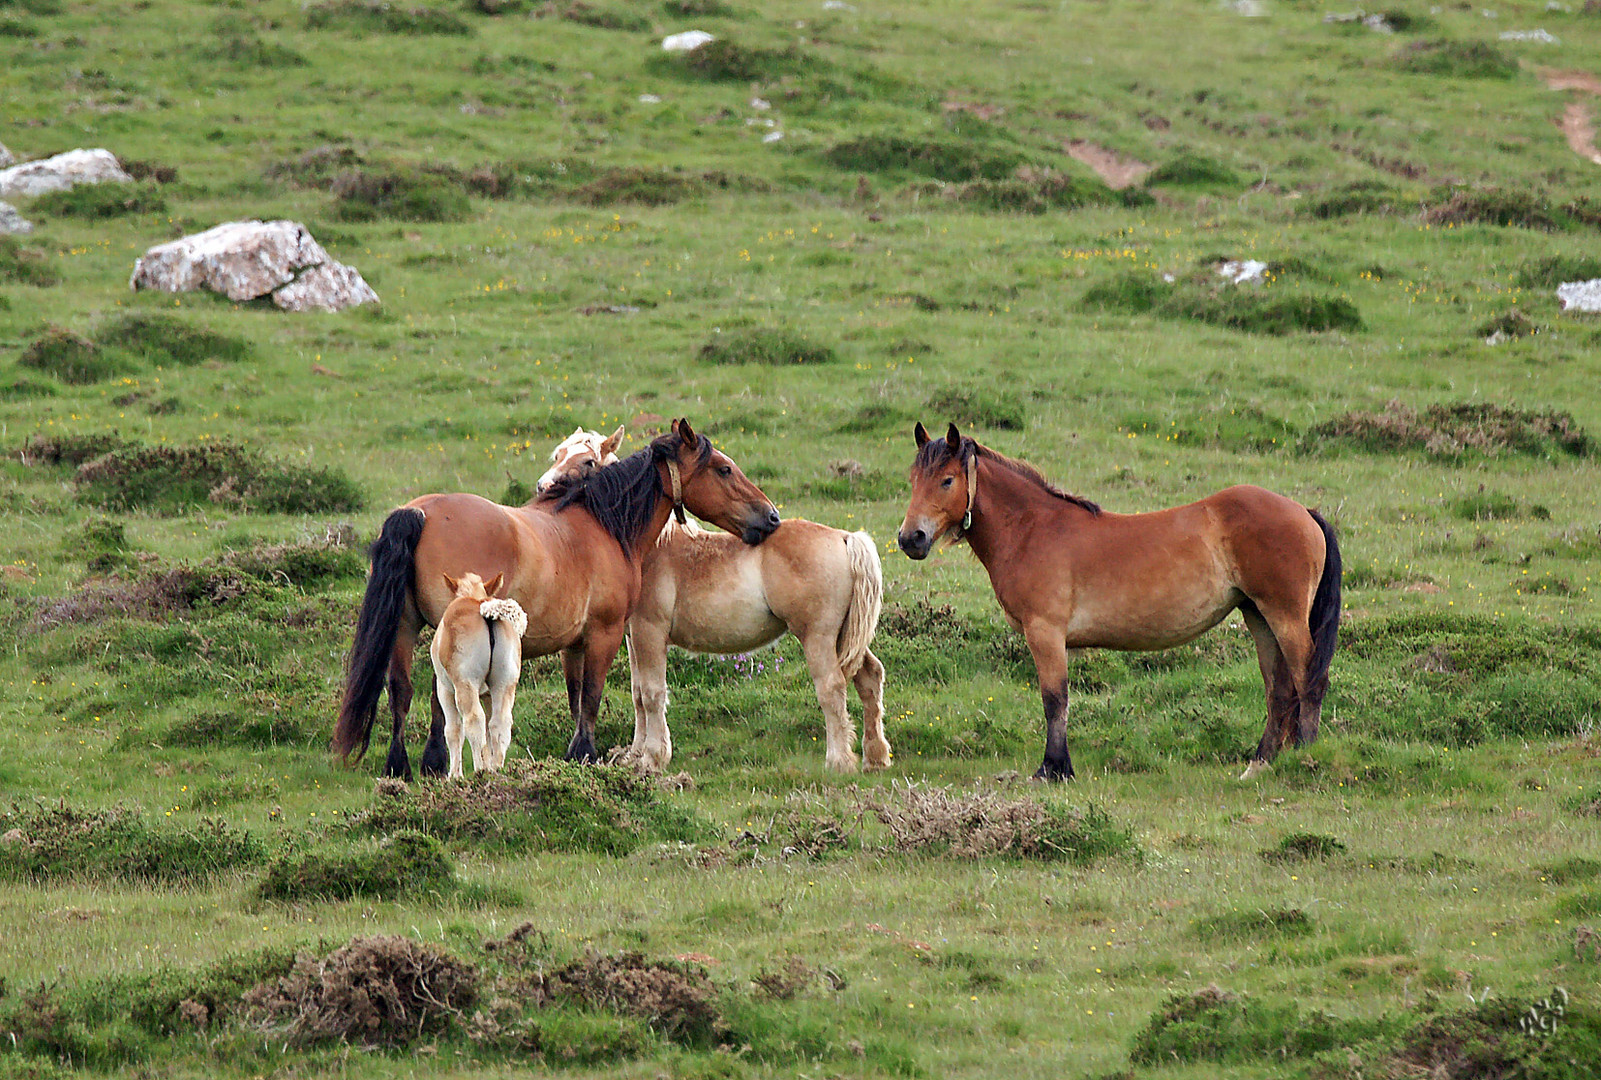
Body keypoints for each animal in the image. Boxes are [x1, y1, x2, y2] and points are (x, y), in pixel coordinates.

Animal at [328, 419, 778, 780]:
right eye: (724, 468)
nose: (771, 516)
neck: (603, 524)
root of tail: (419, 513)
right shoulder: (605, 634)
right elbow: (592, 696)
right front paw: (584, 755)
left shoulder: (573, 644)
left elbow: (575, 697)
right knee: (444, 702)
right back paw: (438, 764)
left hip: (404, 628)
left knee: (401, 691)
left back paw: (403, 766)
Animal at [537, 425, 890, 774]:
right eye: (557, 455)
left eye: (588, 462)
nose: (544, 487)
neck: (643, 545)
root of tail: (846, 538)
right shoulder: (632, 637)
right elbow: (637, 694)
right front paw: (634, 755)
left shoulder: (649, 632)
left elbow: (652, 693)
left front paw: (653, 758)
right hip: (845, 638)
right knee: (869, 677)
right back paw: (875, 757)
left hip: (817, 637)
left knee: (831, 688)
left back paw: (838, 762)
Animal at [902, 422, 1338, 787]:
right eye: (913, 479)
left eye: (946, 480)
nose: (911, 539)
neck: (1032, 530)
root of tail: (1304, 511)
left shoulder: (1045, 632)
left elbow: (1054, 700)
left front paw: (1052, 769)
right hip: (1258, 615)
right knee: (1278, 689)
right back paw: (1260, 764)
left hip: (1284, 615)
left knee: (1308, 680)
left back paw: (1304, 757)